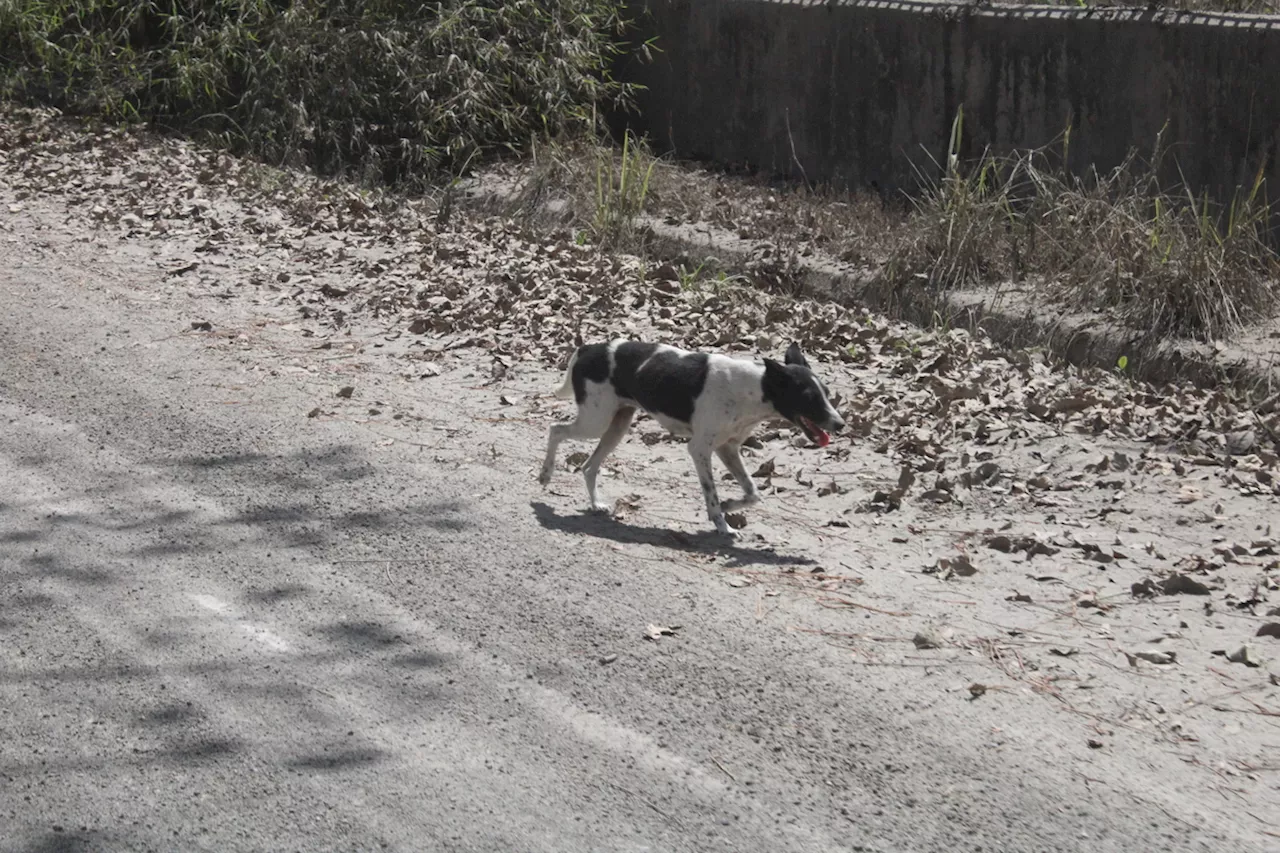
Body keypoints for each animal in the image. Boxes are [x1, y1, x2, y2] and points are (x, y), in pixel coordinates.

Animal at [537, 340, 844, 535]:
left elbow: (752, 492)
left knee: (588, 467)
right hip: (595, 422)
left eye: (827, 393)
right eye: (809, 397)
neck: (754, 388)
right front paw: (723, 525)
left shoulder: (728, 449)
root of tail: (589, 348)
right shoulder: (700, 449)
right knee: (555, 429)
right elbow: (711, 493)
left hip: (616, 426)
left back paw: (596, 503)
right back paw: (545, 474)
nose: (840, 424)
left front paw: (729, 505)